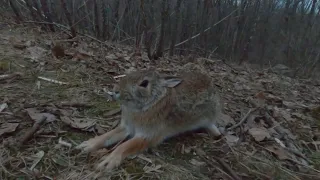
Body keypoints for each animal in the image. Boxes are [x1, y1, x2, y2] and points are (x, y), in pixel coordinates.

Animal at [76, 65, 224, 171]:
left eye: (144, 83)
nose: (116, 90)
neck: (150, 103)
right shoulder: (126, 127)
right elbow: (108, 136)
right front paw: (87, 145)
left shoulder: (148, 135)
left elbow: (125, 146)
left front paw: (108, 162)